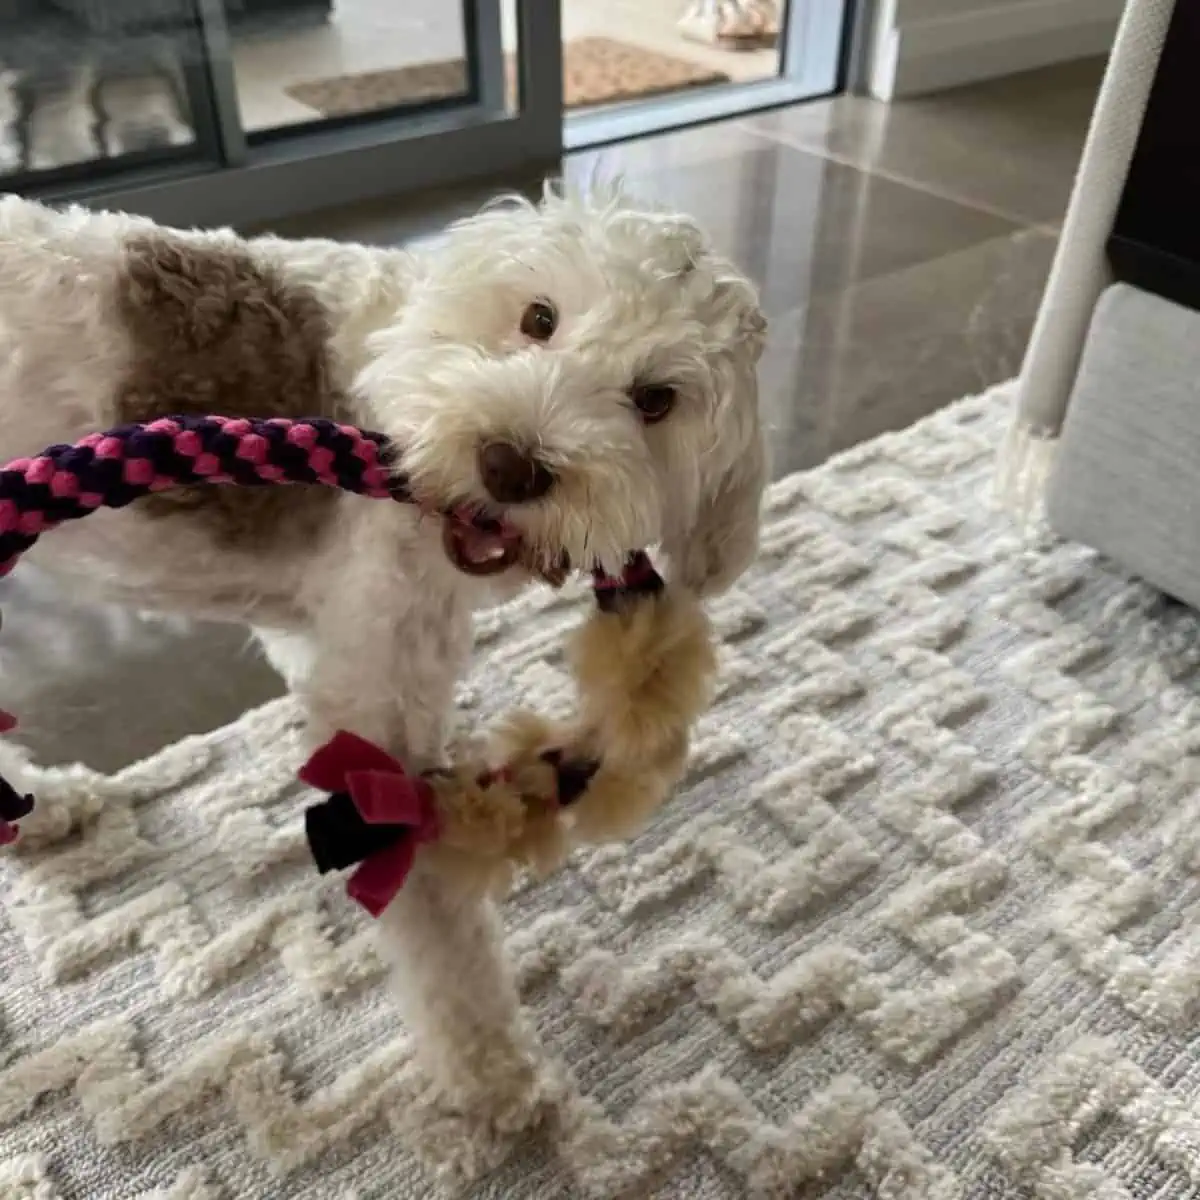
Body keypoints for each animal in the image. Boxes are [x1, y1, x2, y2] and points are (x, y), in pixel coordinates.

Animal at [0, 187, 768, 1132]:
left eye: (656, 399)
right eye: (539, 318)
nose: (510, 465)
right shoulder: (375, 711)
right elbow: (436, 914)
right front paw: (490, 1076)